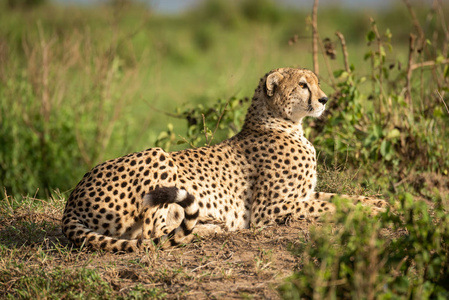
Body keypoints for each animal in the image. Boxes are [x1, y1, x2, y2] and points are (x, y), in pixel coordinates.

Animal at [61, 67, 386, 252]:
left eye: (316, 83)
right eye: (303, 85)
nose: (324, 100)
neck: (283, 123)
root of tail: (72, 199)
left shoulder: (302, 195)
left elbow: (344, 198)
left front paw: (384, 203)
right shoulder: (268, 211)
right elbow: (335, 206)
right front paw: (374, 211)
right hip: (157, 156)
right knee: (153, 235)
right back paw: (209, 231)